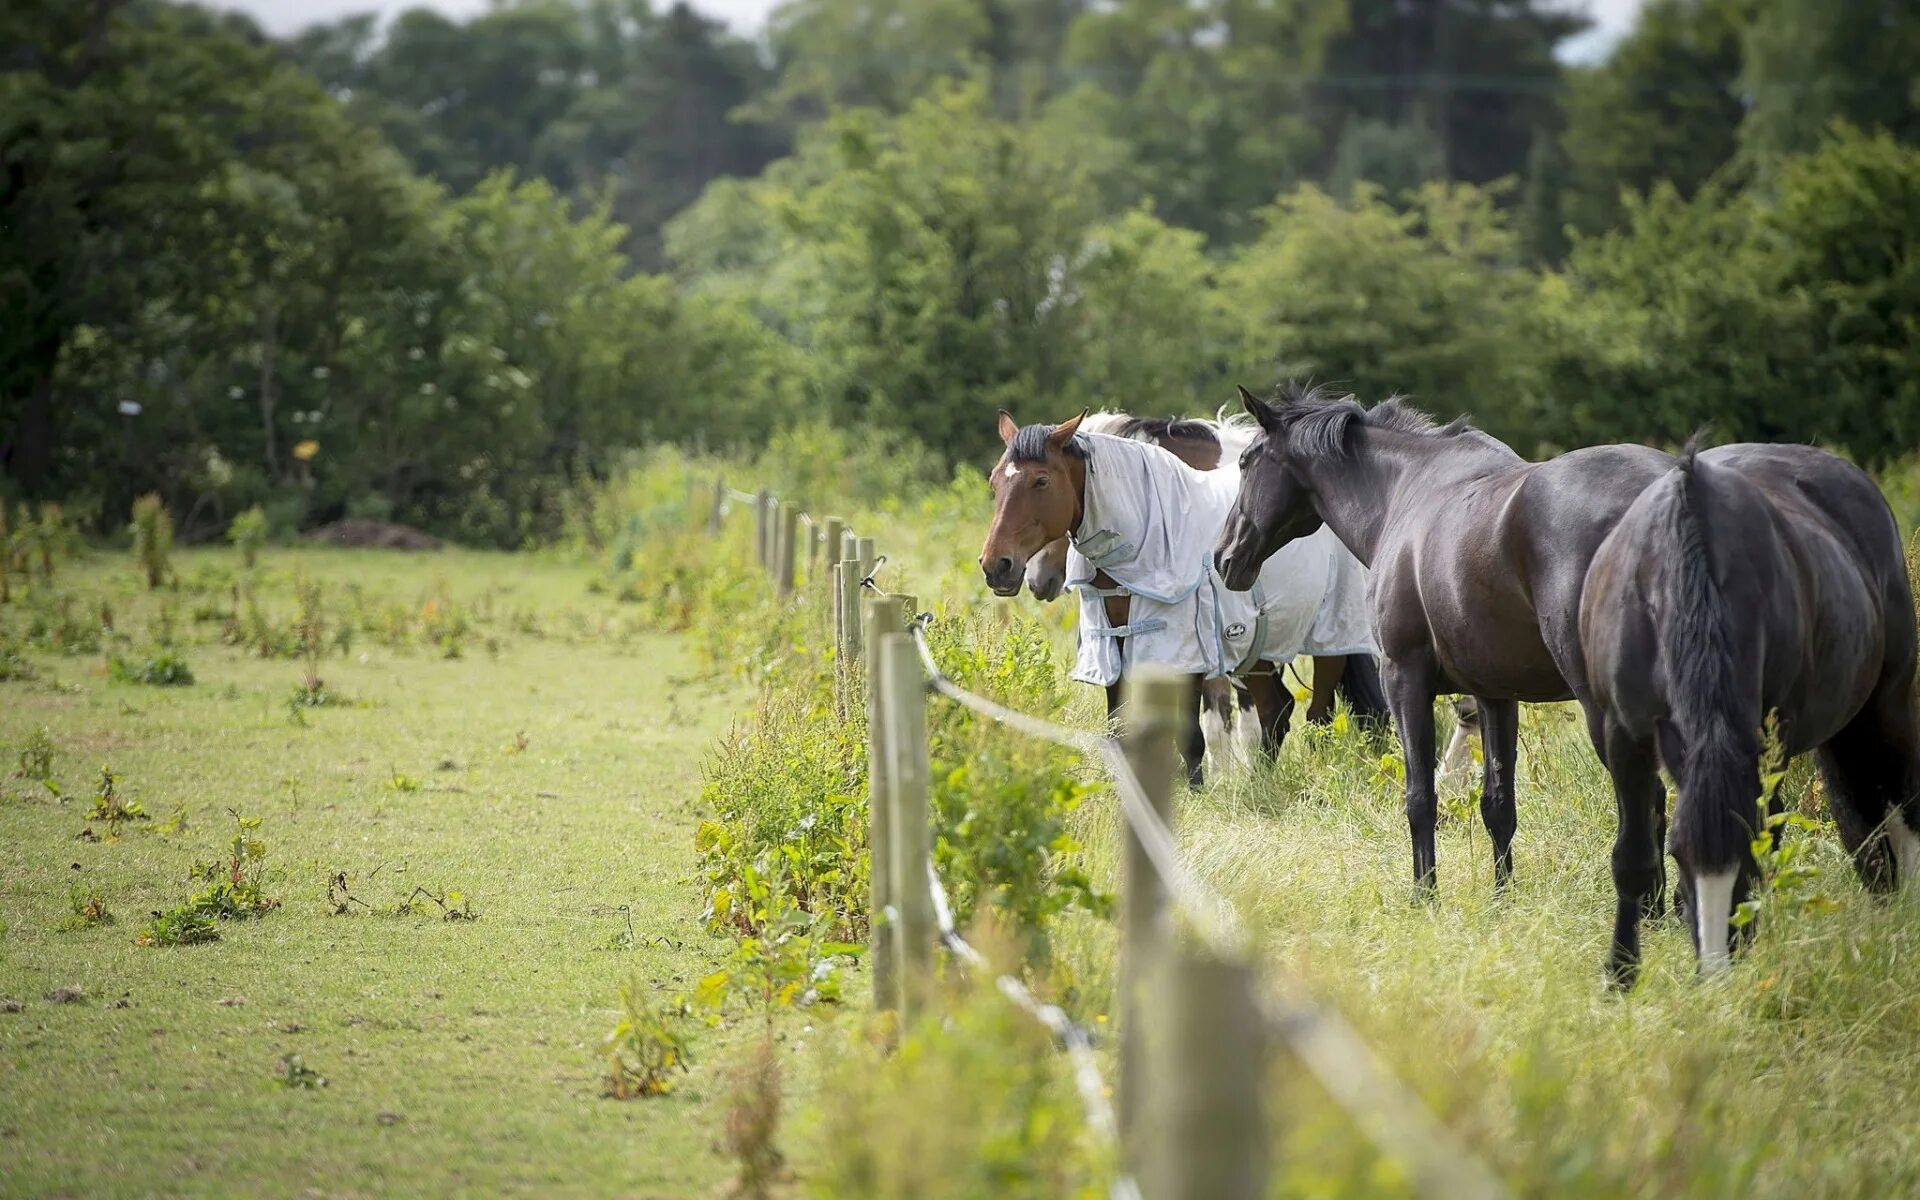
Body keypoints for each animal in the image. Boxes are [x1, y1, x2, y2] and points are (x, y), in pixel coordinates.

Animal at [983, 410, 1390, 787]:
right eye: (994, 481)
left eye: (1041, 481)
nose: (1000, 567)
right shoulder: (1117, 644)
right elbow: (1121, 727)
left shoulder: (1194, 651)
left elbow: (1199, 730)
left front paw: (1199, 787)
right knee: (1277, 709)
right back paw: (1259, 782)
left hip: (1330, 640)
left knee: (1317, 715)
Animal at [1213, 378, 1681, 902]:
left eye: (1245, 461)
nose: (1223, 556)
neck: (1406, 490)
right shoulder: (1496, 696)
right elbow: (1498, 804)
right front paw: (1501, 899)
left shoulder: (1404, 680)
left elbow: (1421, 797)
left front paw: (1425, 897)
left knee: (1647, 809)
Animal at [1574, 439, 1920, 983]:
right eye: (1678, 852)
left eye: (1743, 859)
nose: (1716, 974)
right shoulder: (1623, 735)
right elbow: (1632, 857)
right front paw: (1621, 975)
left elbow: (1771, 839)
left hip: (1887, 704)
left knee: (1900, 804)